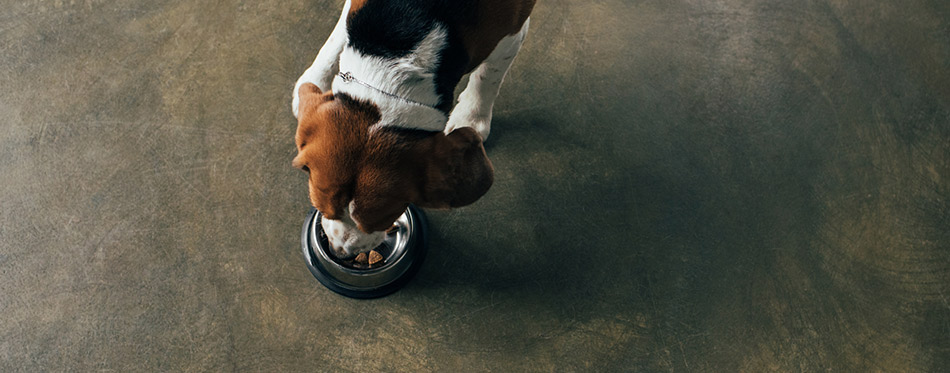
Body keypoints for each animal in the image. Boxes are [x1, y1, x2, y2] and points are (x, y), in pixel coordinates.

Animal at [290, 0, 536, 258]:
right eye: (322, 207)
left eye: (383, 219)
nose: (340, 252)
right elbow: (340, 31)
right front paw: (318, 75)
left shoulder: (512, 33)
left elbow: (487, 77)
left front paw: (471, 117)